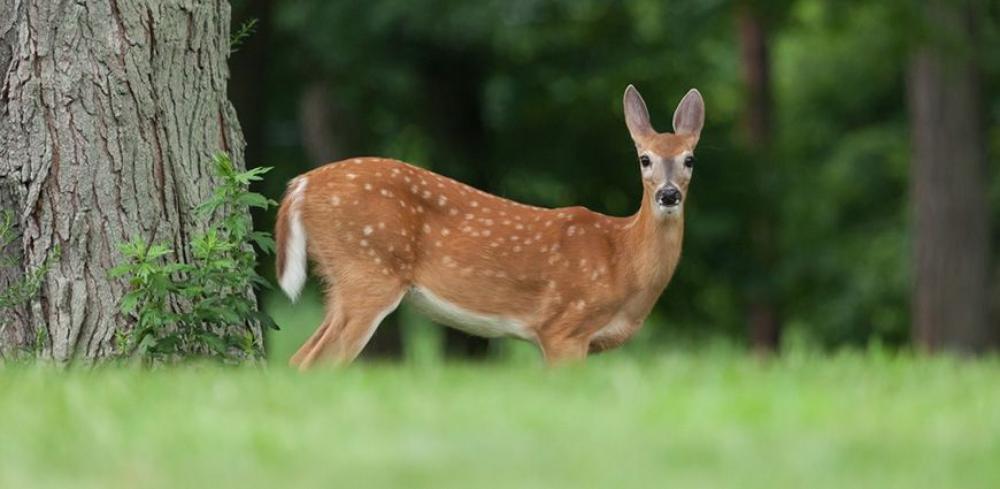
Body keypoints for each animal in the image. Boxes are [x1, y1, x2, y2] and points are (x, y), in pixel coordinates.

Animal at [275, 85, 704, 369]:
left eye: (690, 159)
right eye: (645, 158)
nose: (668, 194)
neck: (621, 257)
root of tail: (302, 184)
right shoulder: (563, 327)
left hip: (343, 280)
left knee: (298, 358)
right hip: (368, 271)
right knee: (316, 362)